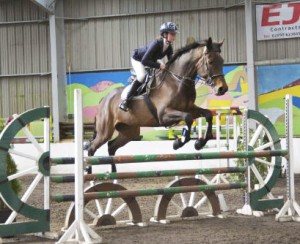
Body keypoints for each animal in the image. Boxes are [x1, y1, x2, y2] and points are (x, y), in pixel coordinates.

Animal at [86, 37, 227, 162]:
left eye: (222, 61)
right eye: (210, 61)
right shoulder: (163, 115)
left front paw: (199, 143)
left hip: (129, 131)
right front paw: (178, 143)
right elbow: (187, 118)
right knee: (92, 148)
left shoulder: (190, 108)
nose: (222, 89)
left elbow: (207, 114)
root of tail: (104, 99)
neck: (178, 81)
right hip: (105, 131)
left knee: (111, 147)